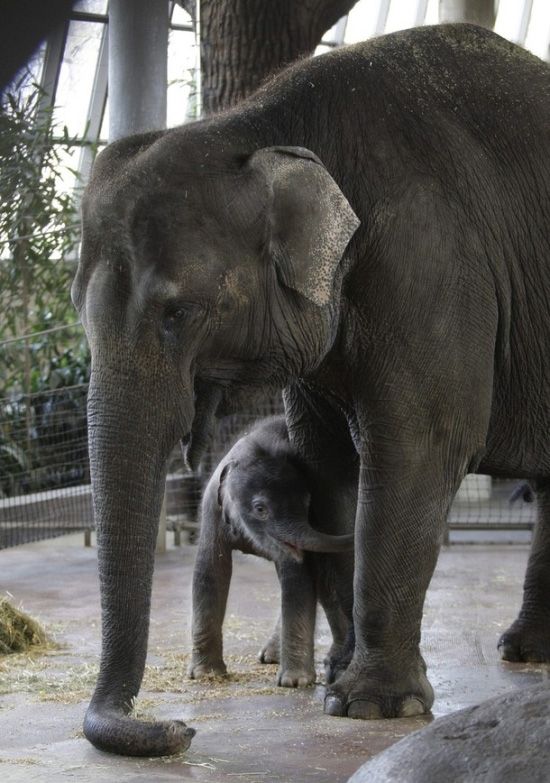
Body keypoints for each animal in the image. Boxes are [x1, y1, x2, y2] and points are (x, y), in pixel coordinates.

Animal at [190, 416, 354, 688]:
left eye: (308, 504)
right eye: (260, 509)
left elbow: (297, 576)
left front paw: (294, 683)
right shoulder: (212, 508)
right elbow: (210, 572)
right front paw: (206, 675)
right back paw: (272, 657)